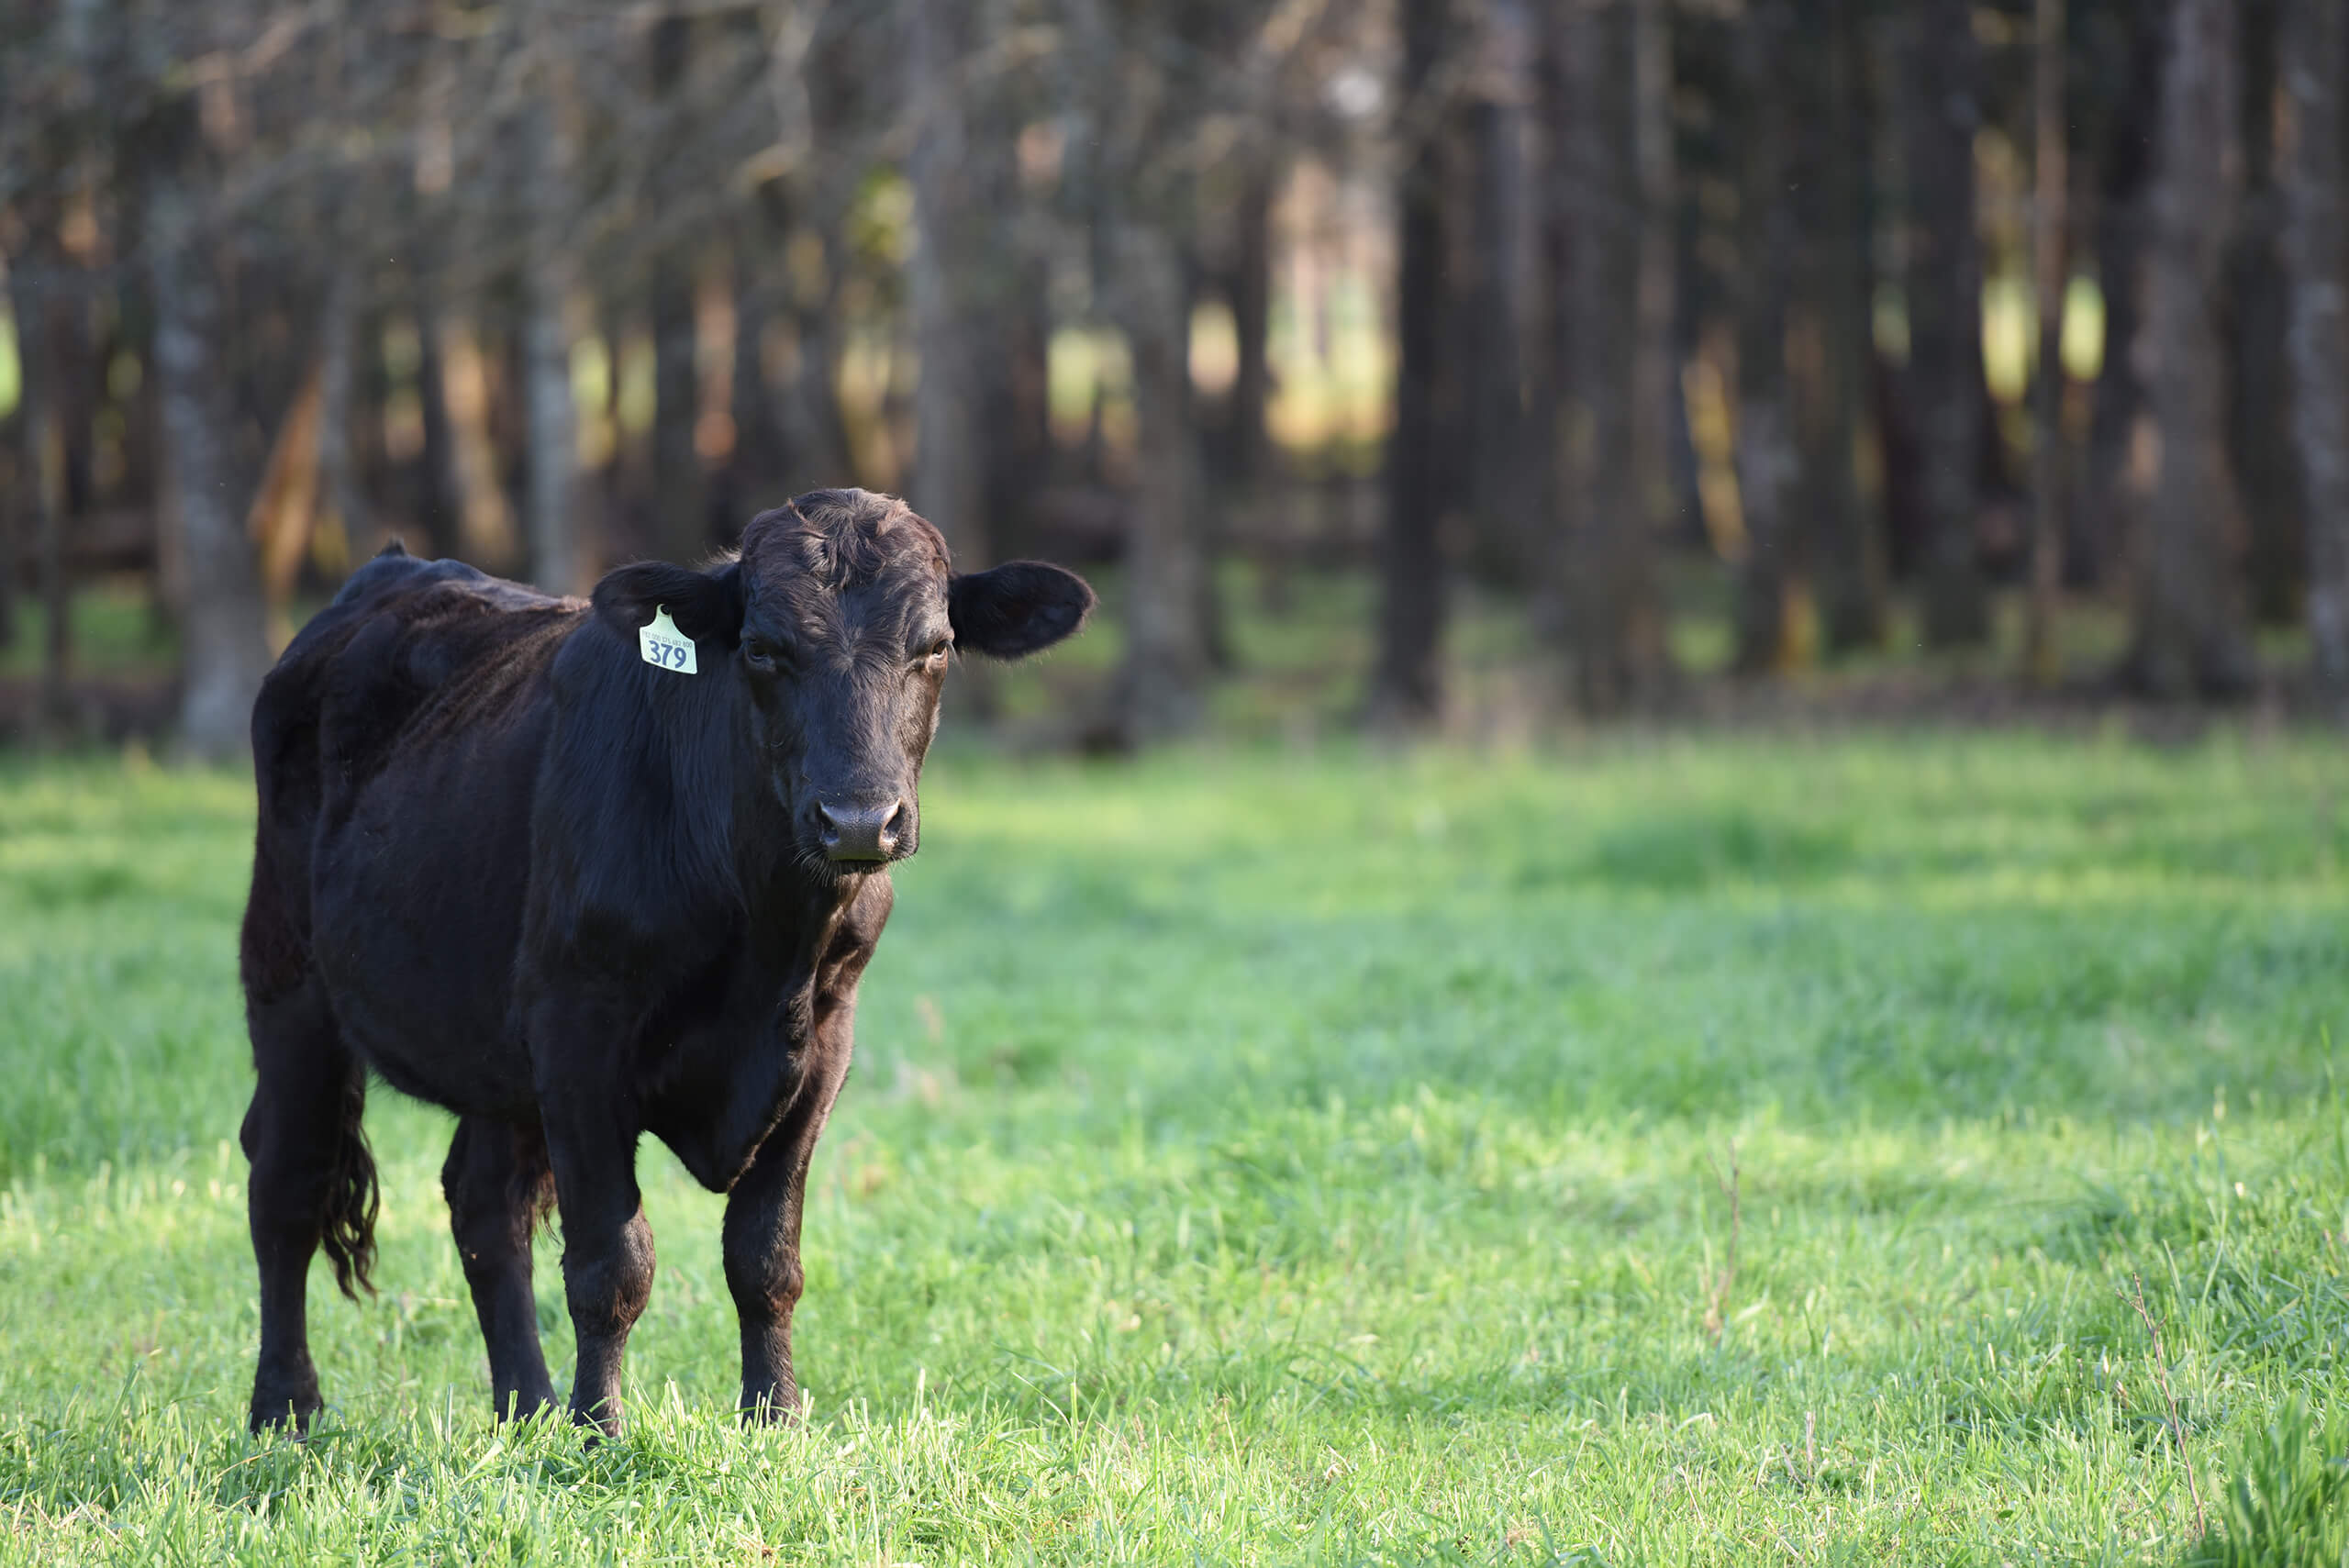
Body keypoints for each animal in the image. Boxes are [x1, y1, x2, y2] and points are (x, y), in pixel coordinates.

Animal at [238, 490, 1089, 1436]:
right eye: (762, 648)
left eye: (934, 645)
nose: (860, 818)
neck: (767, 942)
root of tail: (391, 569)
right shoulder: (579, 1035)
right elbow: (613, 1261)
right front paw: (599, 1430)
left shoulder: (824, 1042)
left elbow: (765, 1257)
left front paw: (773, 1418)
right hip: (286, 975)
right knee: (288, 1181)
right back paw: (286, 1408)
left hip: (496, 1047)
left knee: (483, 1203)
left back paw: (525, 1408)